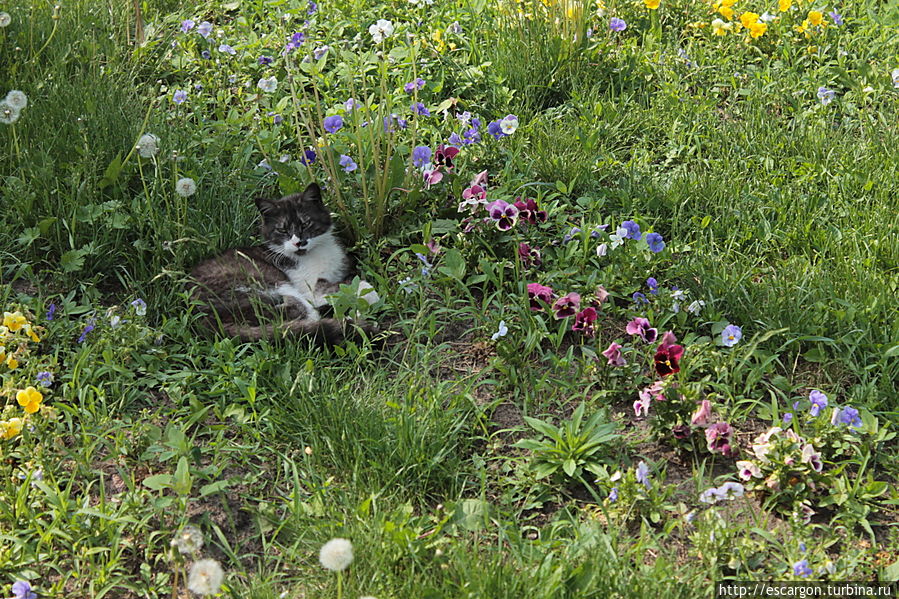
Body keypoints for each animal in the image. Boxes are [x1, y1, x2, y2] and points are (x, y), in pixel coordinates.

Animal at [188, 182, 374, 342]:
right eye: (282, 230)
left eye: (306, 223)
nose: (299, 242)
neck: (312, 253)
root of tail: (204, 321)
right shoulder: (307, 285)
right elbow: (337, 288)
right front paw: (365, 294)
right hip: (264, 282)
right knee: (298, 312)